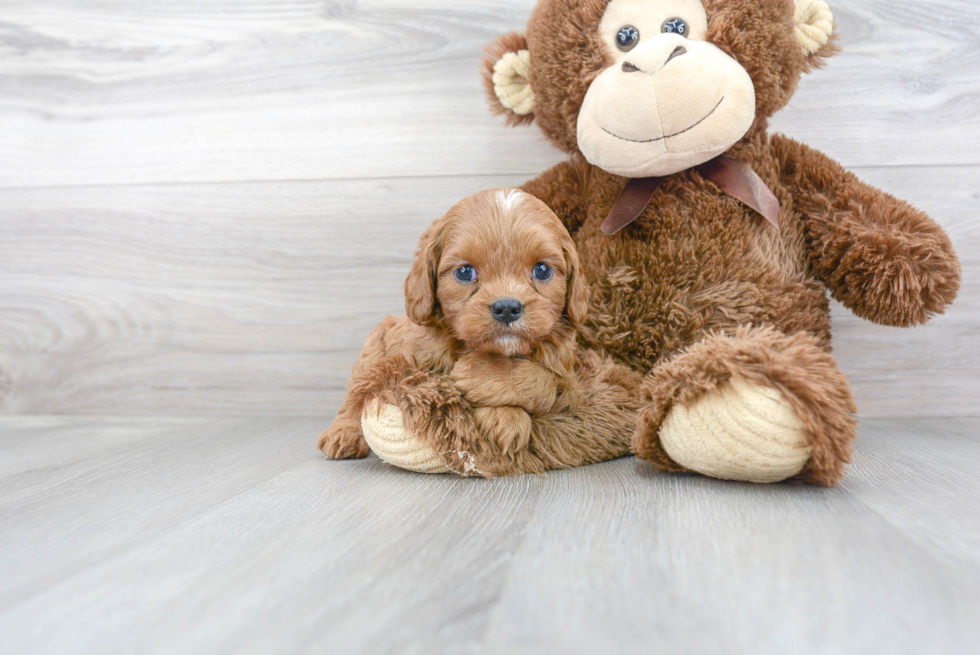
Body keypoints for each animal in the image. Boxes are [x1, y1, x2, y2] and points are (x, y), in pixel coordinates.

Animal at [322, 188, 640, 476]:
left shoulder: (570, 382)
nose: (507, 308)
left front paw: (489, 391)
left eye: (542, 270)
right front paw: (498, 406)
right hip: (372, 348)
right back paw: (342, 434)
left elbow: (545, 380)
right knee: (355, 392)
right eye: (464, 272)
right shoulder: (409, 361)